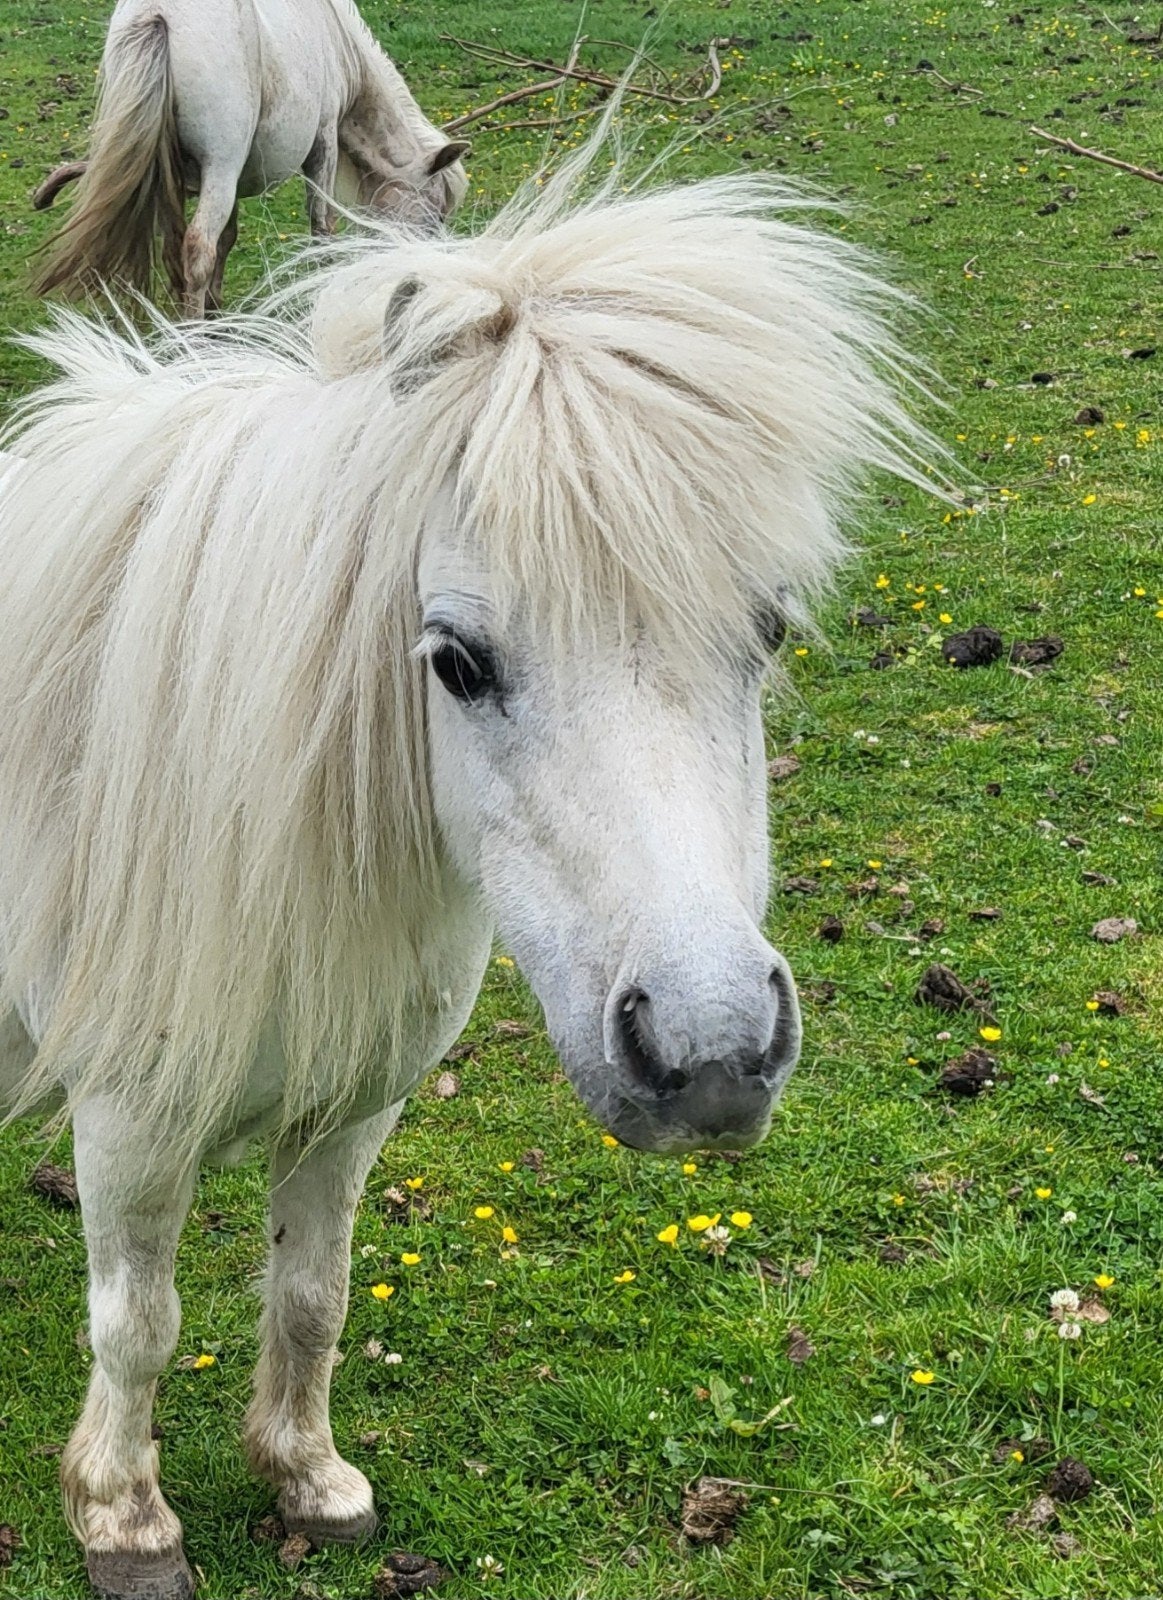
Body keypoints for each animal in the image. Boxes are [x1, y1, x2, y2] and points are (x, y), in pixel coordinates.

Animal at [0, 142, 936, 1599]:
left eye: (768, 630)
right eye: (452, 659)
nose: (711, 1053)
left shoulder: (352, 1108)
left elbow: (312, 1294)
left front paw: (307, 1477)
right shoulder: (128, 1122)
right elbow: (137, 1320)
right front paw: (125, 1520)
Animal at [30, 0, 469, 316]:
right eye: (436, 214)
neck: (336, 40)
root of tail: (160, 15)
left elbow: (228, 238)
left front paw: (217, 310)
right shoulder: (323, 141)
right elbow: (321, 228)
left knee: (177, 251)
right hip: (220, 168)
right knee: (196, 250)